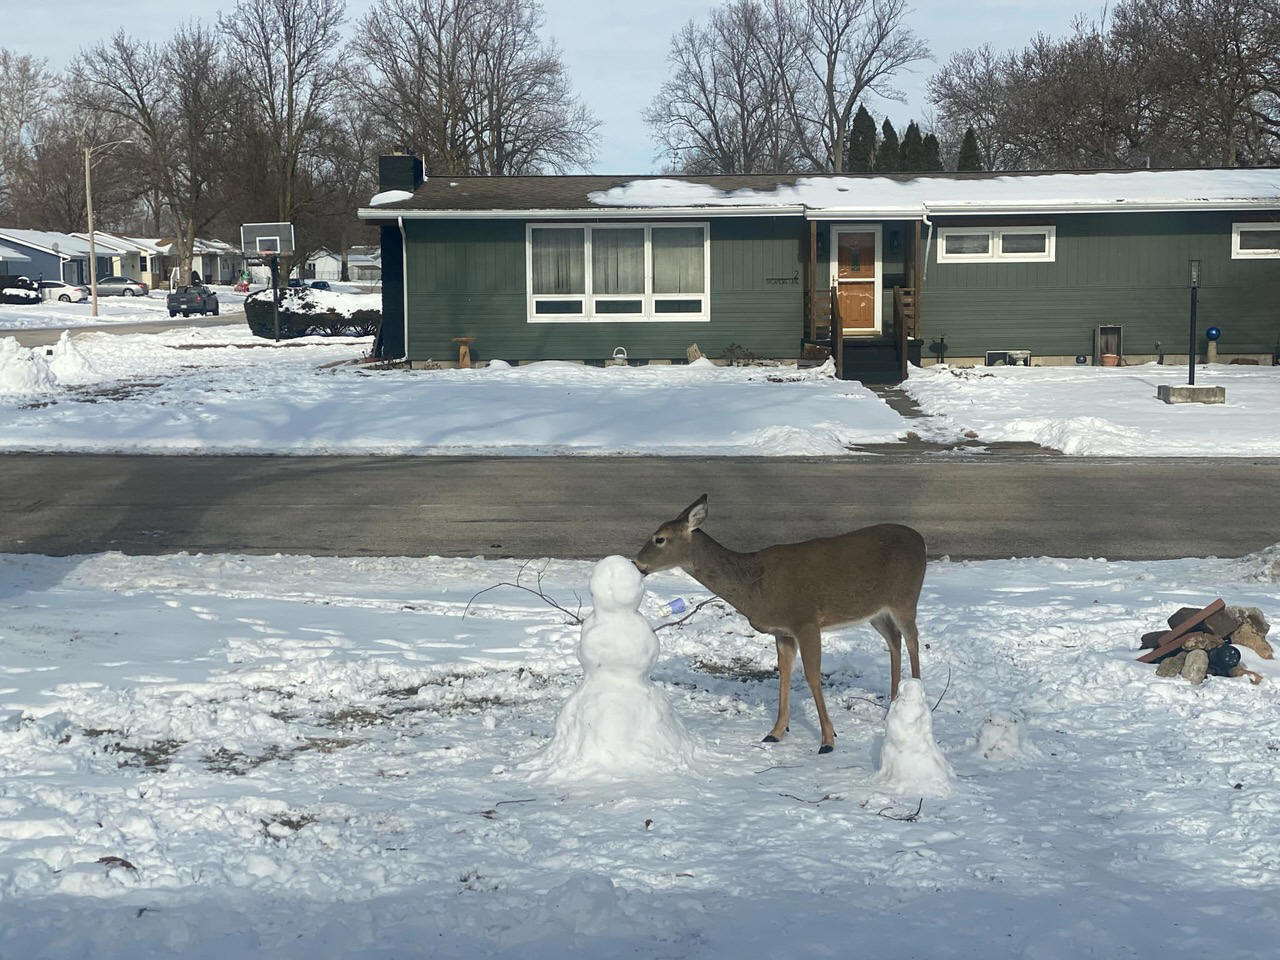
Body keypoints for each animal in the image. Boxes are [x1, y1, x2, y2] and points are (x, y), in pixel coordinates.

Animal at [633, 494, 926, 754]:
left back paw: (918, 700)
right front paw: (775, 732)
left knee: (912, 640)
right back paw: (892, 708)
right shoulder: (782, 632)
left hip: (905, 599)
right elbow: (783, 674)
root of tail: (920, 539)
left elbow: (811, 676)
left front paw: (827, 740)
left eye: (659, 538)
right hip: (877, 611)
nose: (636, 563)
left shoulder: (806, 620)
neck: (755, 587)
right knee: (894, 640)